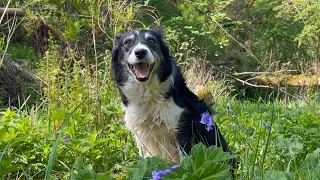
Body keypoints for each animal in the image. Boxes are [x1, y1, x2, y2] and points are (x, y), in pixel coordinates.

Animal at [111, 27, 231, 163]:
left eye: (151, 40)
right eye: (127, 42)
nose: (140, 52)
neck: (146, 91)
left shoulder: (182, 127)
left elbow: (185, 160)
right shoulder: (140, 133)